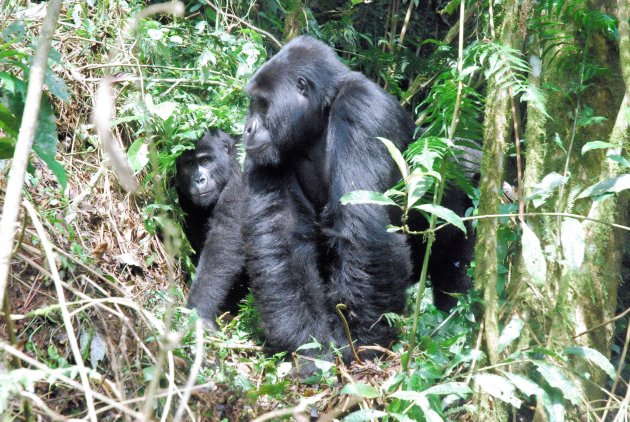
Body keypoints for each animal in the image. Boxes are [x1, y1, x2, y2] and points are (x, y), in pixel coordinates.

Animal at [177, 129, 251, 324]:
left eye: (205, 161)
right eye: (189, 164)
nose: (199, 179)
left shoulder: (241, 174)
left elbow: (224, 238)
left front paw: (199, 312)